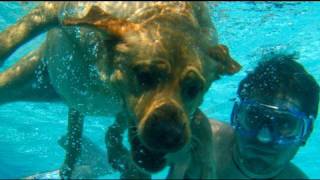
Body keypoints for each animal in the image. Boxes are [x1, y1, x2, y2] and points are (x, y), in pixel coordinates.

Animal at [0, 2, 240, 179]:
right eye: (144, 76)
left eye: (194, 88)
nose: (168, 135)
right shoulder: (53, 10)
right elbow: (14, 35)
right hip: (37, 77)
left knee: (110, 133)